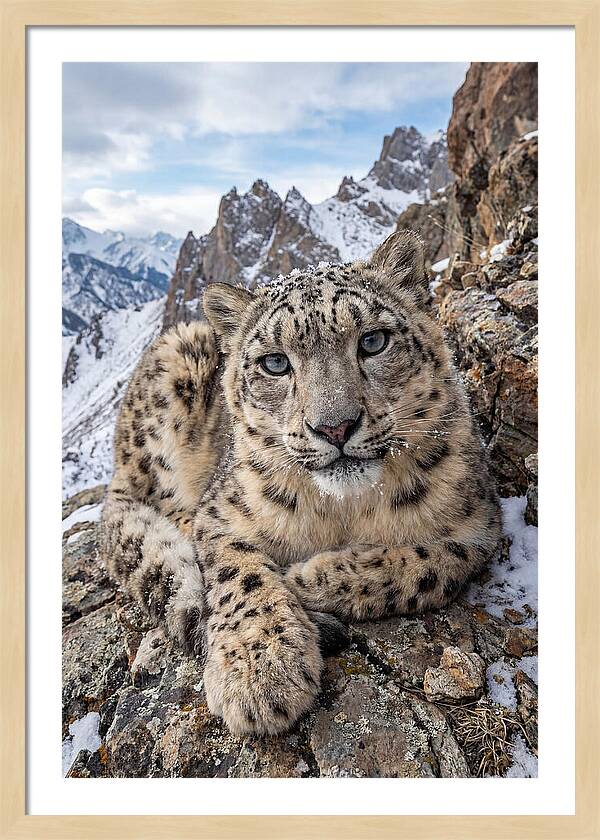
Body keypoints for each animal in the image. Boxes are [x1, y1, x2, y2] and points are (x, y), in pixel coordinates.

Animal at [100, 230, 501, 736]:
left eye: (373, 341)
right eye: (275, 363)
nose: (335, 427)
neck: (343, 511)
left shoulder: (479, 524)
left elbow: (429, 564)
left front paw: (307, 578)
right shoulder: (221, 514)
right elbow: (239, 574)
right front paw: (260, 671)